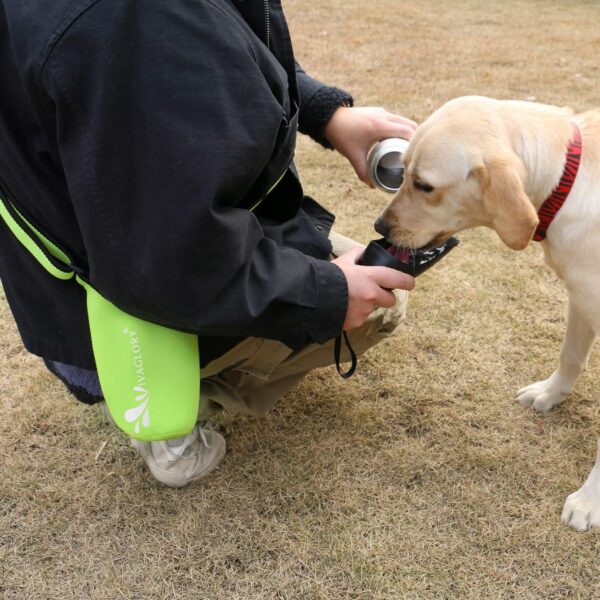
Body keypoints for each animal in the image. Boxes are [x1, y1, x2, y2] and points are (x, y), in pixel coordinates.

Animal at [378, 96, 596, 532]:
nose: (379, 226)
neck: (569, 182)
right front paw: (550, 394)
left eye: (424, 185)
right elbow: (569, 356)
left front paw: (589, 500)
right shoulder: (581, 295)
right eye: (401, 171)